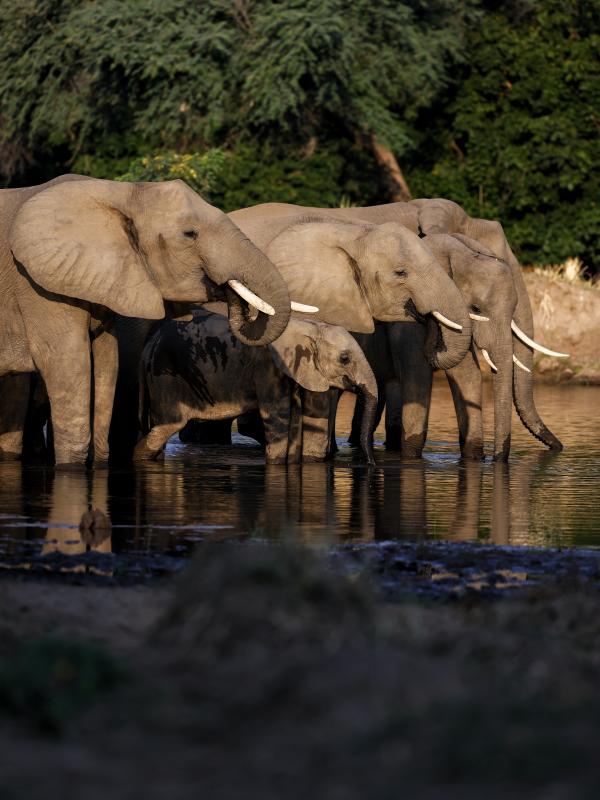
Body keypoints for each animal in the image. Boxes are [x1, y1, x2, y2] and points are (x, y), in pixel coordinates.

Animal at [134, 311, 378, 465]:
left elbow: (313, 421)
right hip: (164, 377)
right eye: (345, 359)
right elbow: (279, 417)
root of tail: (148, 346)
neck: (309, 326)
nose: (370, 464)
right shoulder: (267, 369)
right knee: (167, 427)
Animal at [232, 199, 566, 460]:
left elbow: (465, 373)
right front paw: (412, 455)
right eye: (477, 309)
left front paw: (474, 457)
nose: (558, 448)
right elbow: (420, 374)